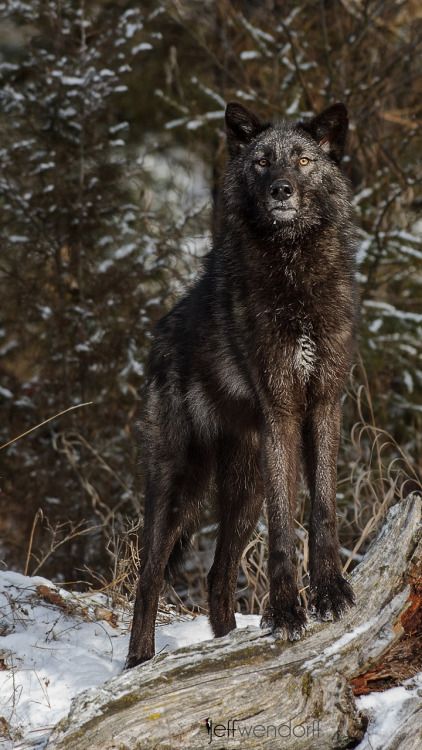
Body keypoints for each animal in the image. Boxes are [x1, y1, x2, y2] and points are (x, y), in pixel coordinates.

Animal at [127, 101, 358, 668]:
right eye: (261, 162)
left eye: (302, 159)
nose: (281, 190)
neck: (295, 276)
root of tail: (160, 333)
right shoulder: (281, 412)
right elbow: (284, 529)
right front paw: (288, 611)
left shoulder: (324, 404)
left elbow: (322, 510)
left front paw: (330, 593)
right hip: (179, 483)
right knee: (149, 576)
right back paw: (139, 664)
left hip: (244, 486)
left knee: (217, 575)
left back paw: (227, 643)